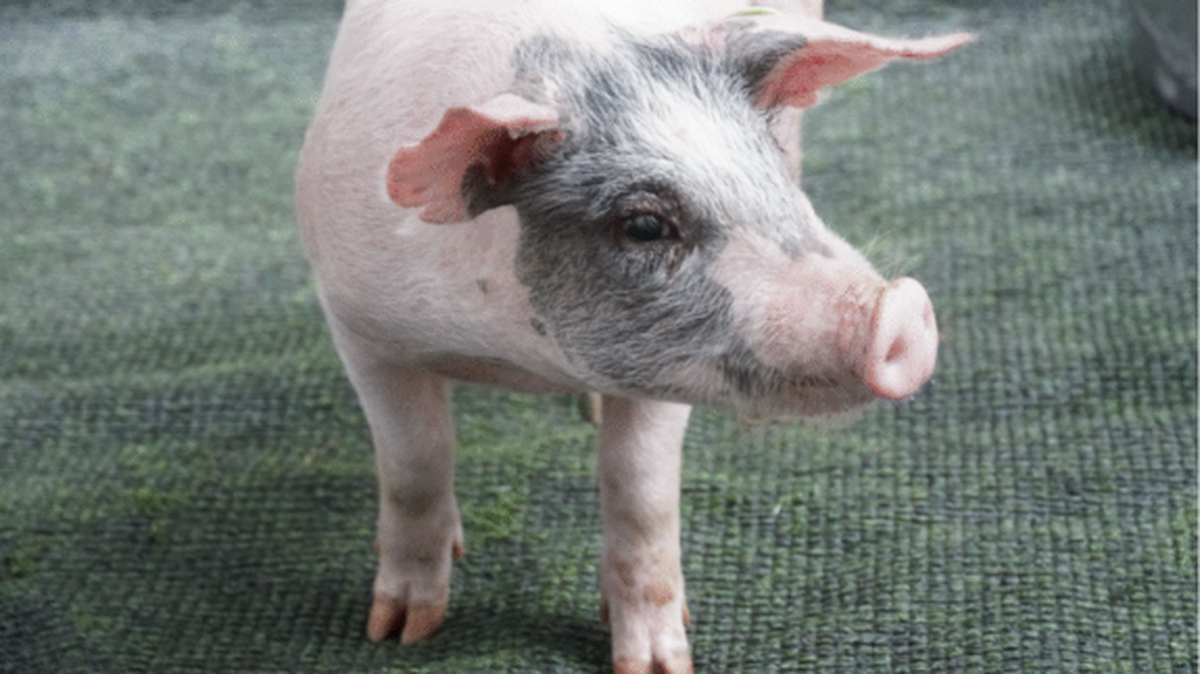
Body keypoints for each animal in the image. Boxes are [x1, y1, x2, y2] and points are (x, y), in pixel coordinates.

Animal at [295, 1, 970, 671]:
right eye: (645, 224)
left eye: (772, 173)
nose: (902, 307)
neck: (517, 355)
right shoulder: (359, 324)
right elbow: (415, 462)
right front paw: (399, 633)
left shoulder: (669, 368)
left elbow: (641, 491)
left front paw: (657, 664)